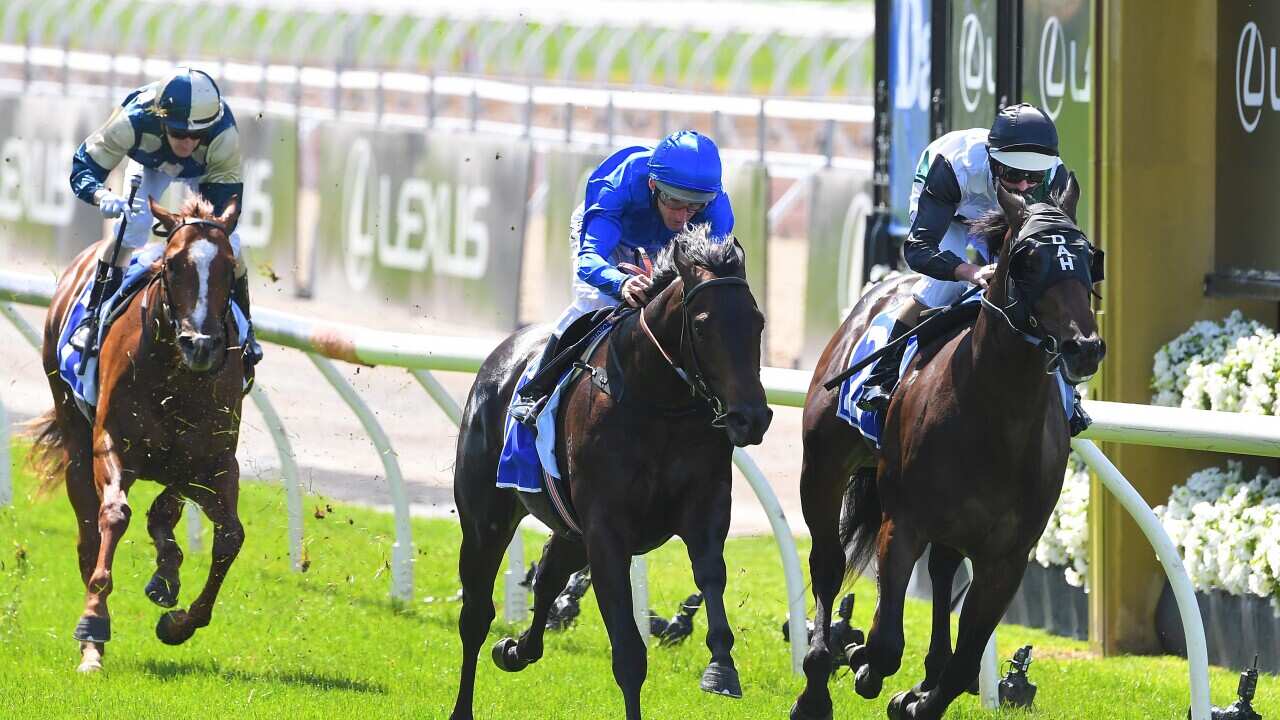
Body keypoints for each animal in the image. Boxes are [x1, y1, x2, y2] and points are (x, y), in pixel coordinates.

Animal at [29, 193, 247, 671]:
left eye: (230, 267)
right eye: (174, 265)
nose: (200, 345)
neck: (176, 376)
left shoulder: (213, 461)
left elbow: (227, 535)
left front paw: (178, 619)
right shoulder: (111, 444)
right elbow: (115, 516)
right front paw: (93, 625)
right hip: (74, 435)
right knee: (89, 536)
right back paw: (92, 642)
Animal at [448, 224, 768, 717]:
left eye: (758, 322)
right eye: (702, 324)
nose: (752, 417)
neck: (660, 405)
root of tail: (503, 352)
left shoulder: (704, 510)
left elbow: (711, 576)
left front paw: (721, 668)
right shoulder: (607, 531)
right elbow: (630, 656)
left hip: (571, 528)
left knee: (548, 575)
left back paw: (516, 650)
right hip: (487, 518)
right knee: (477, 614)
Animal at [788, 175, 1100, 717]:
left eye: (1087, 257)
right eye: (1027, 260)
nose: (1084, 346)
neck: (996, 421)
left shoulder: (1007, 558)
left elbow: (963, 665)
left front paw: (917, 697)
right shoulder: (903, 524)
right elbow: (885, 643)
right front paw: (863, 663)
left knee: (940, 572)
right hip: (823, 466)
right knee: (828, 563)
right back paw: (816, 681)